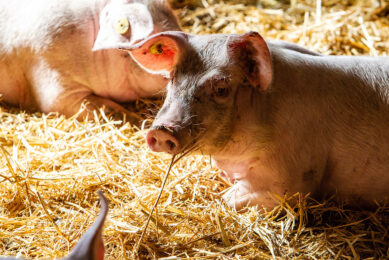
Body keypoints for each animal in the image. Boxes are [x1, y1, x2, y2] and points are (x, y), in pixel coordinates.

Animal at [122, 31, 388, 209]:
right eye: (172, 79)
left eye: (221, 88)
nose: (161, 130)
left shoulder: (290, 176)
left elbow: (230, 200)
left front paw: (220, 198)